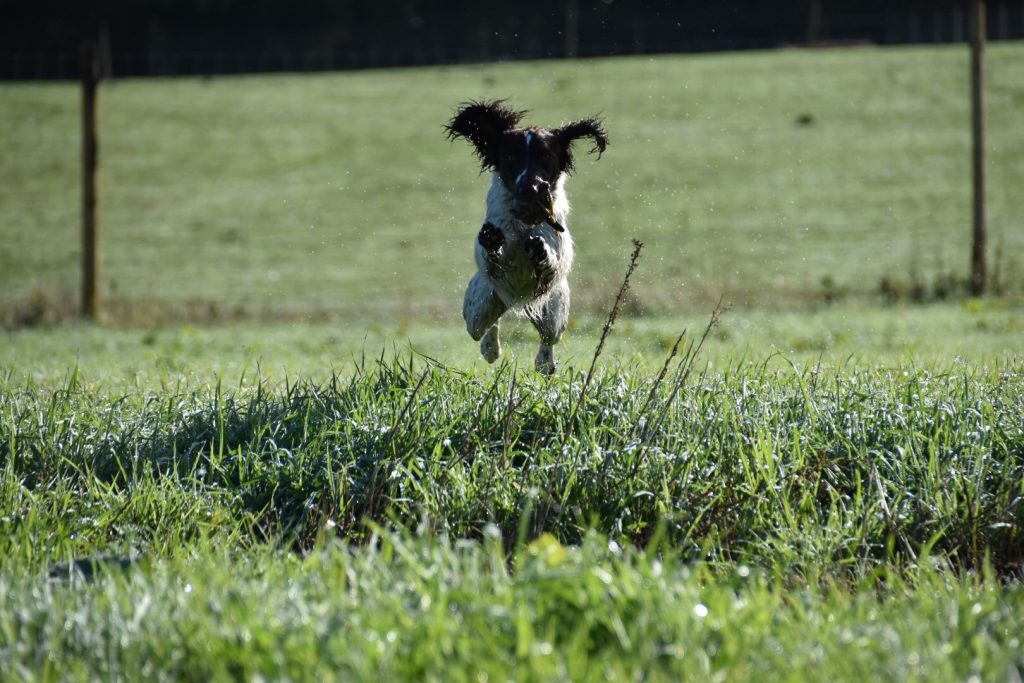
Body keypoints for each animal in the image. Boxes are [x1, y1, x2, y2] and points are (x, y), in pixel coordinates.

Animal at [442, 100, 602, 374]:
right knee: (487, 326)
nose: (531, 187)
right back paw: (490, 348)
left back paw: (544, 363)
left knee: (547, 342)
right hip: (480, 307)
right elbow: (491, 252)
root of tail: (515, 302)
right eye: (511, 156)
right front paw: (493, 243)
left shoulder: (555, 251)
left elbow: (551, 260)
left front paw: (541, 251)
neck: (523, 224)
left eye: (545, 156)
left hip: (554, 312)